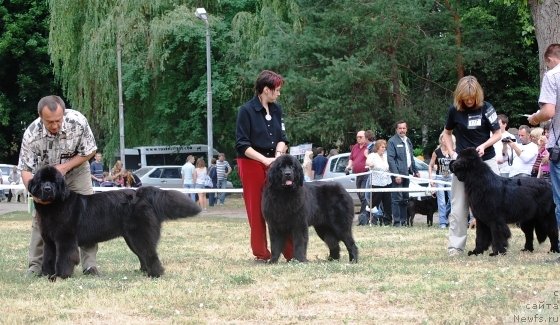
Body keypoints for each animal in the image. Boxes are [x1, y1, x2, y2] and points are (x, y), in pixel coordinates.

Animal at [27, 165, 201, 278]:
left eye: (54, 181)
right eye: (41, 181)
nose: (48, 189)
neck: (54, 206)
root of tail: (141, 193)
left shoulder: (65, 239)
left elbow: (64, 258)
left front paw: (60, 276)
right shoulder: (50, 241)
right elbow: (48, 258)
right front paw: (45, 274)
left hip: (140, 235)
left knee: (150, 253)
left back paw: (155, 274)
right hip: (131, 238)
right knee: (143, 254)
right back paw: (143, 271)